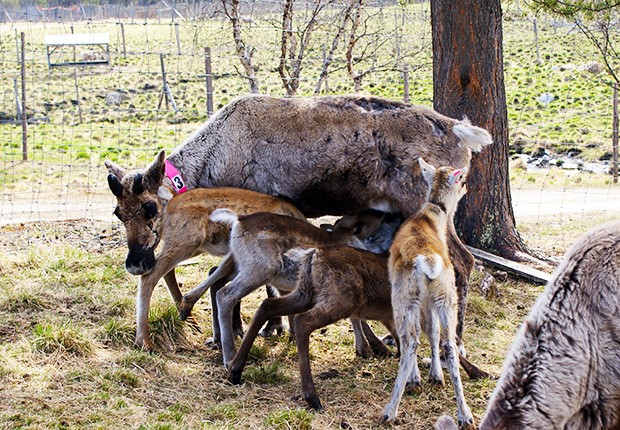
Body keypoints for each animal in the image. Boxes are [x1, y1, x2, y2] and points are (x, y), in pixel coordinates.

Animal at [228, 244, 398, 412]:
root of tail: (312, 255)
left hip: (305, 293)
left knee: (267, 305)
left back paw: (234, 371)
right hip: (341, 299)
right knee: (302, 321)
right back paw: (312, 398)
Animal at [380, 160, 472, 428]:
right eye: (461, 179)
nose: (466, 186)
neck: (430, 219)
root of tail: (430, 263)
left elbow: (424, 331)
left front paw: (422, 378)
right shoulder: (432, 301)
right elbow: (432, 331)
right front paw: (436, 376)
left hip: (404, 296)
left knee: (410, 340)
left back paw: (390, 410)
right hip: (446, 295)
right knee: (449, 343)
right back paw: (465, 415)